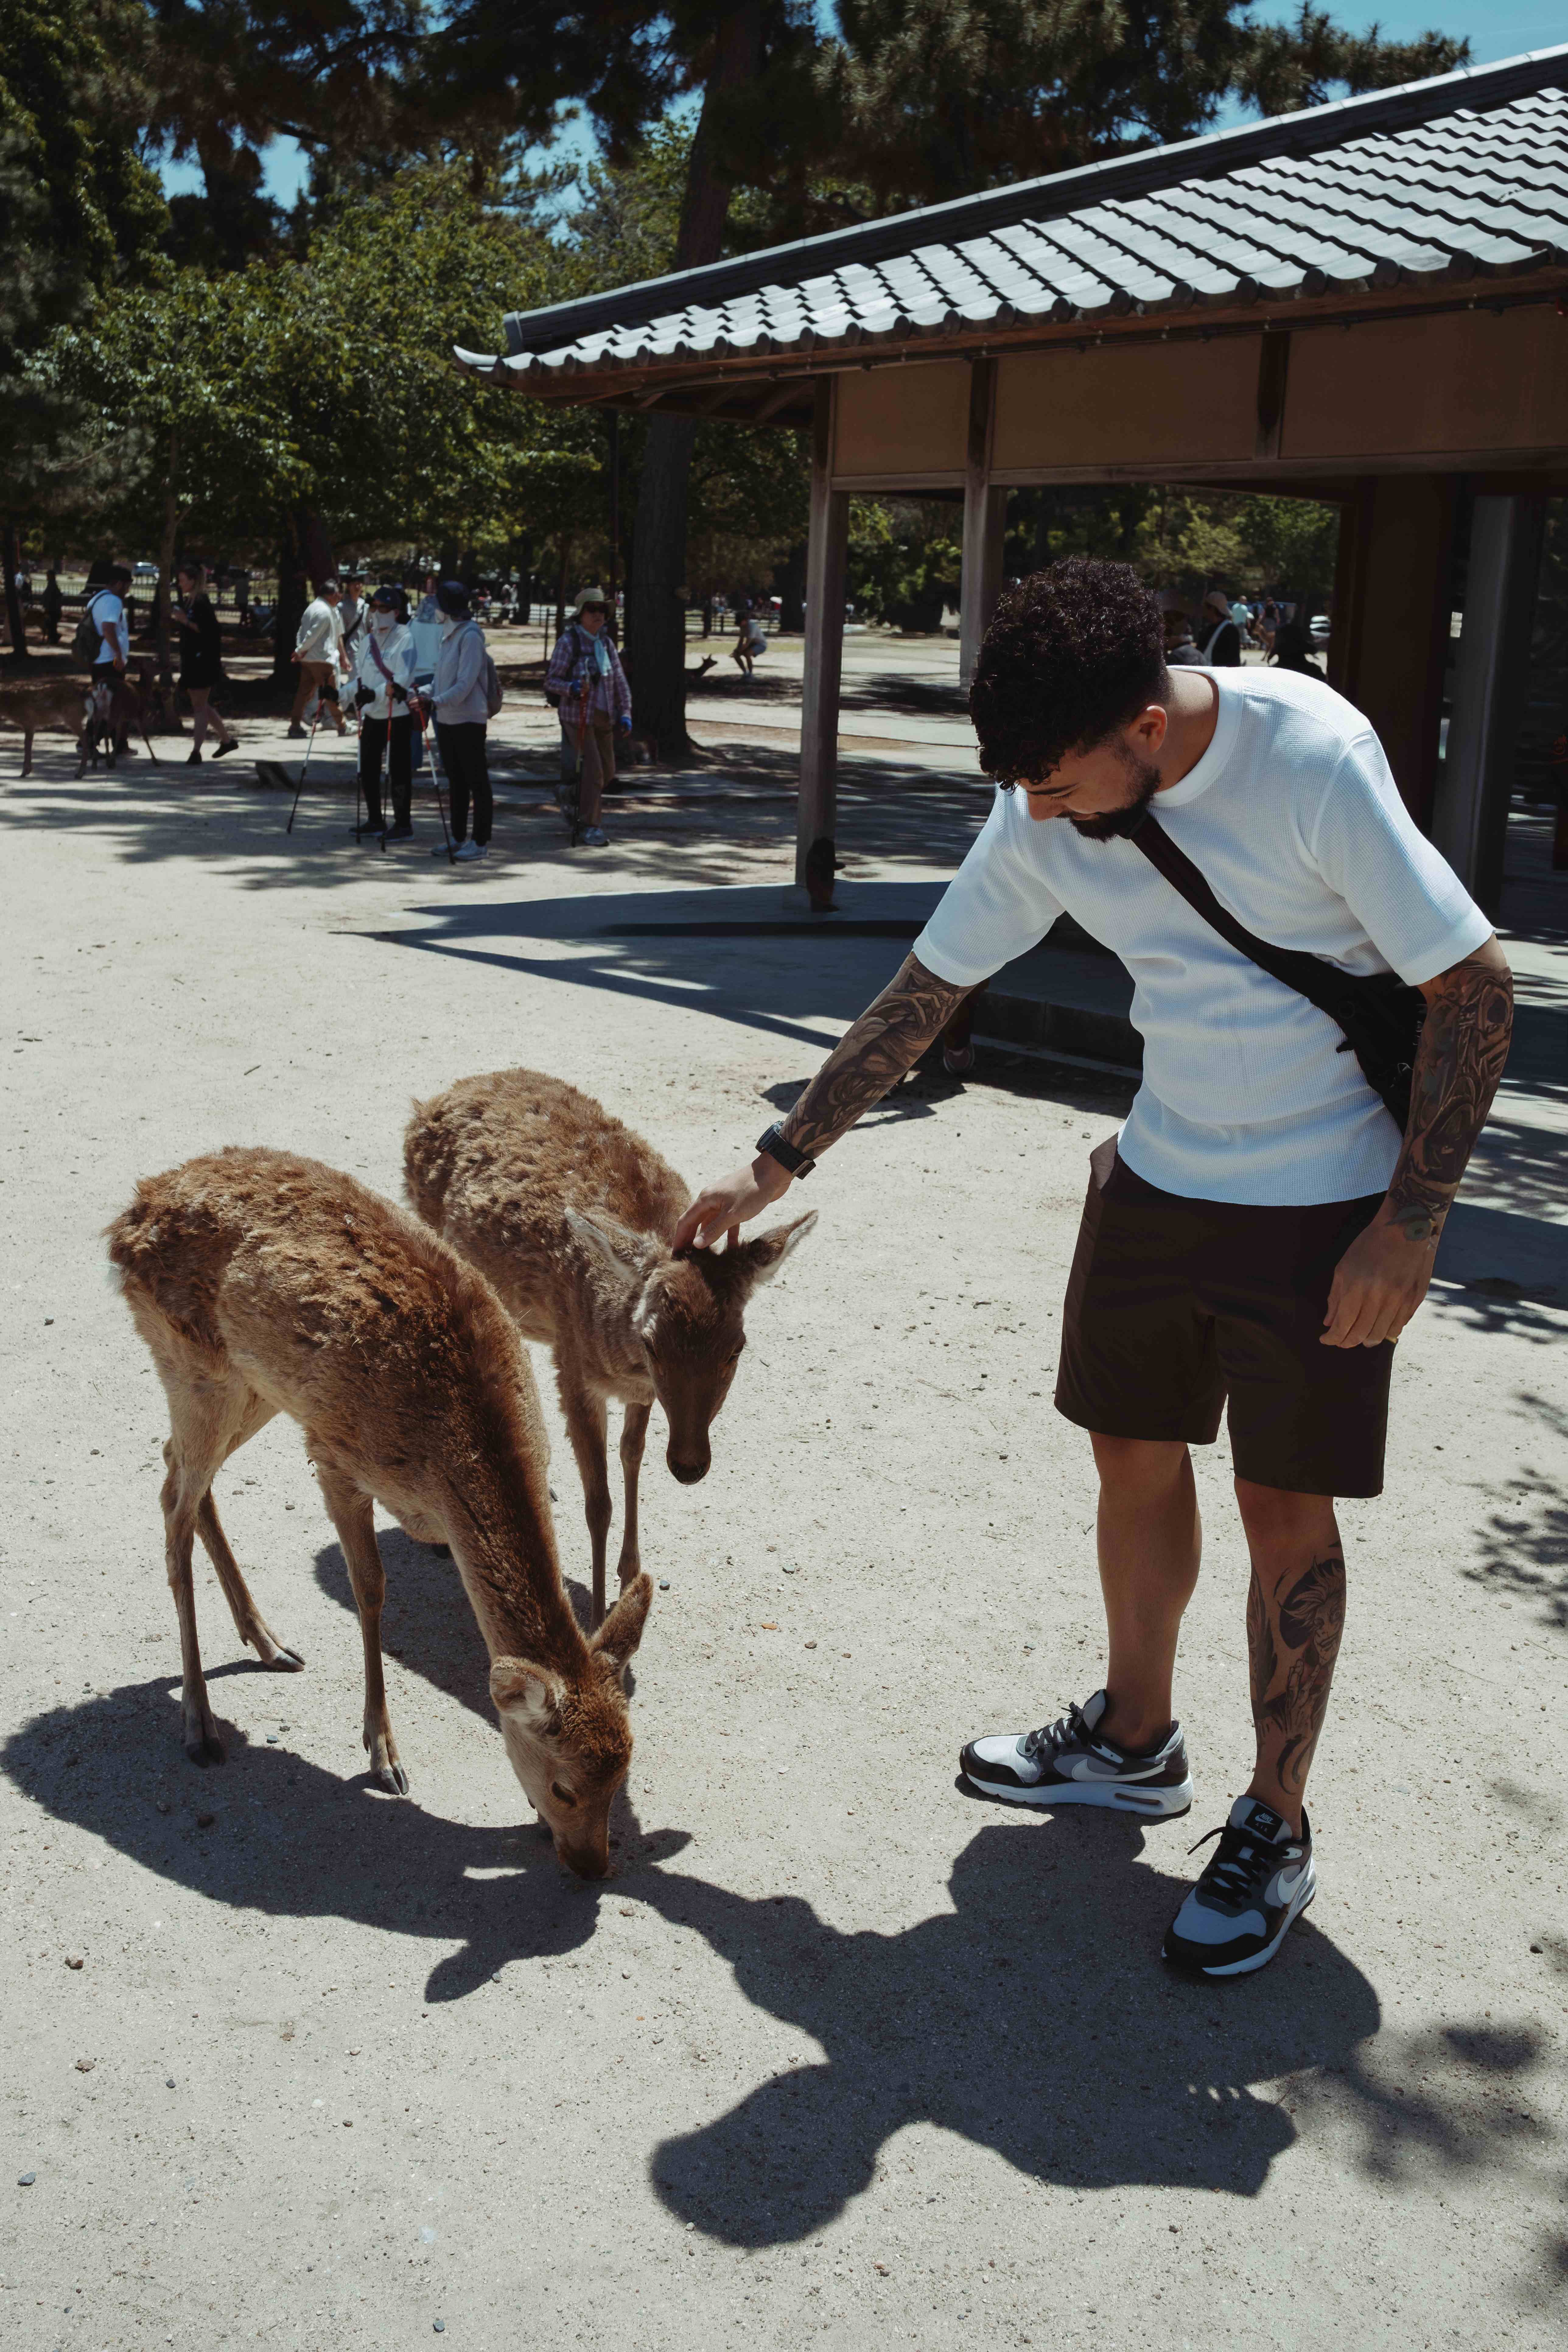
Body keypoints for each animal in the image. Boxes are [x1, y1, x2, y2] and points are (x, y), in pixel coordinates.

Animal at [107, 1146, 651, 1879]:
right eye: (565, 1786)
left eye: (622, 1777)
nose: (593, 1867)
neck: (441, 1463)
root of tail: (127, 1218)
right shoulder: (337, 1457)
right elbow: (370, 1592)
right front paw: (384, 1754)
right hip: (192, 1363)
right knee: (172, 1501)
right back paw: (200, 1723)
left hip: (250, 1385)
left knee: (182, 1475)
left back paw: (269, 1642)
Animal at [403, 1071, 815, 1627]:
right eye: (652, 1343)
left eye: (738, 1348)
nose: (689, 1466)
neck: (624, 1365)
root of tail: (439, 1096)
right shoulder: (573, 1368)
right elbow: (598, 1502)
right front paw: (598, 1614)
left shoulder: (640, 1393)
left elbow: (631, 1456)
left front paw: (629, 1575)